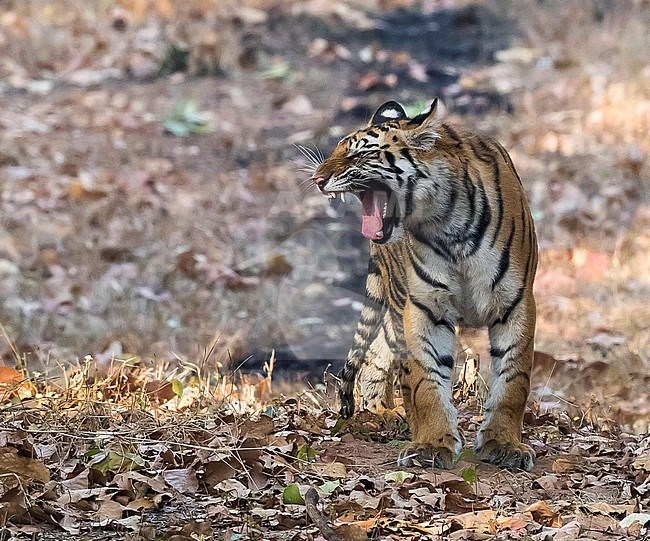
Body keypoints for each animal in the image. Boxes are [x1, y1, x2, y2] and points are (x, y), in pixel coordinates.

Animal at [308, 99, 536, 470]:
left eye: (359, 154)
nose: (317, 179)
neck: (449, 227)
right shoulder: (424, 307)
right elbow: (425, 380)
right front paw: (431, 444)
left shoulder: (515, 303)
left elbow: (513, 380)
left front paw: (504, 444)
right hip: (397, 302)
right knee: (386, 358)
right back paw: (383, 414)